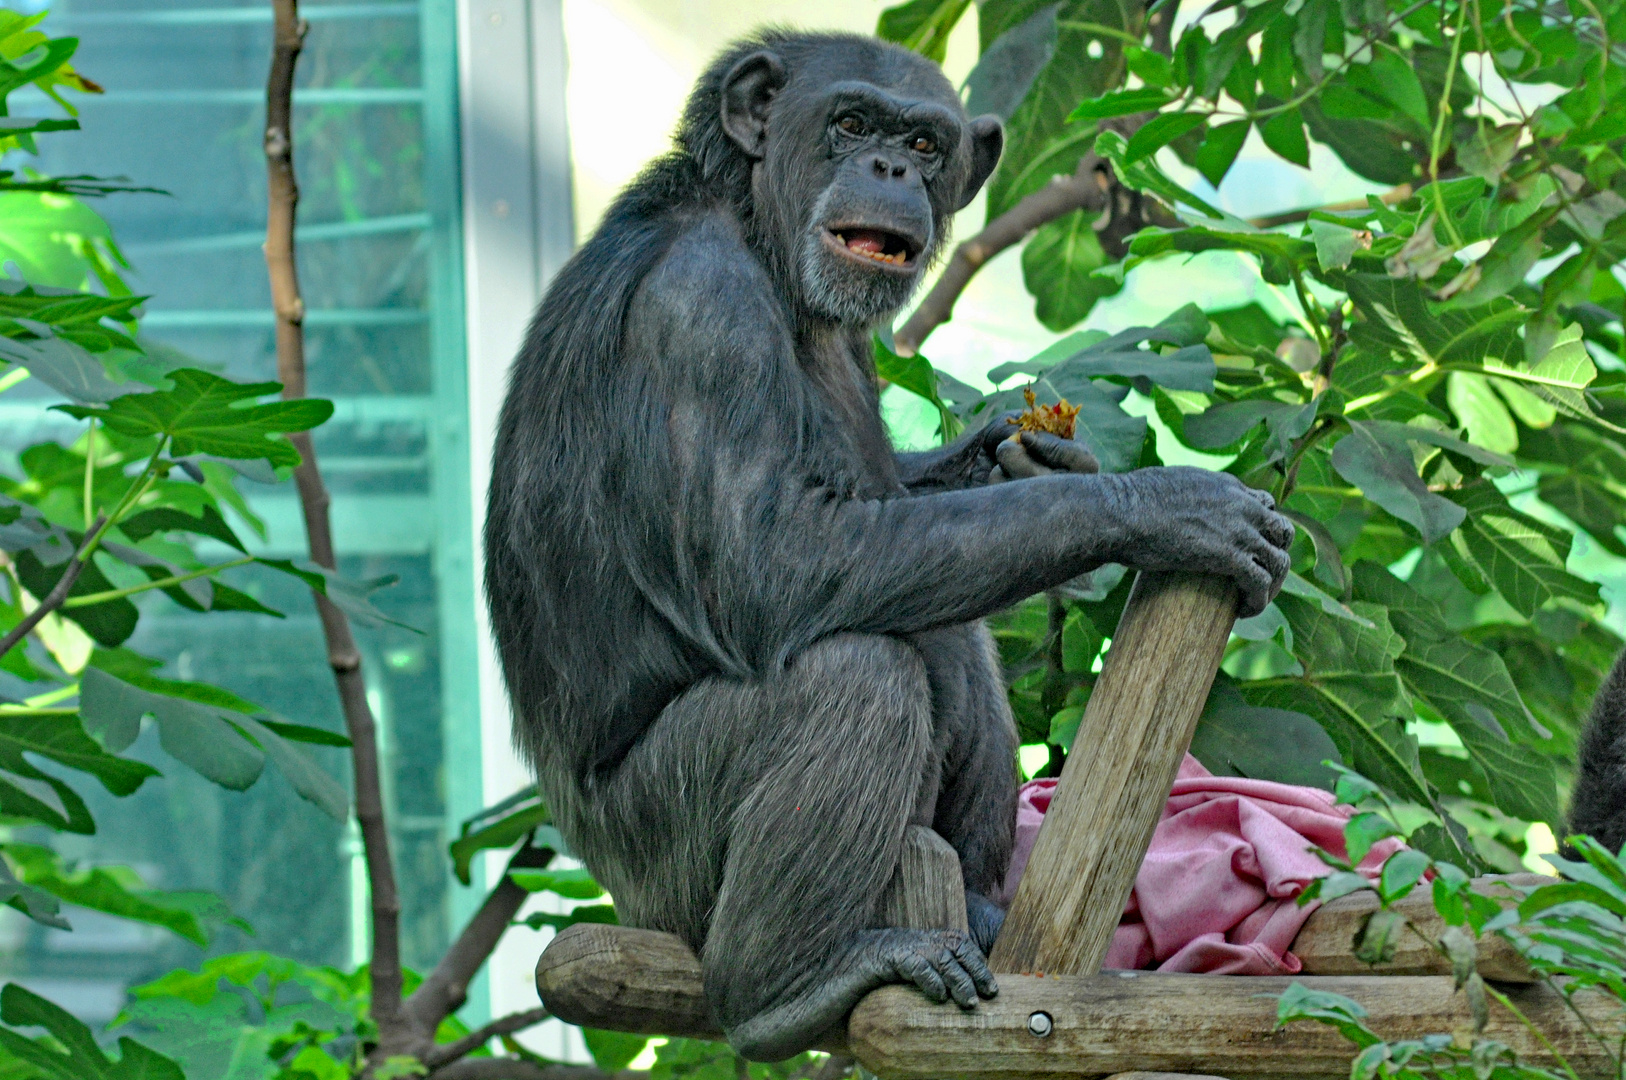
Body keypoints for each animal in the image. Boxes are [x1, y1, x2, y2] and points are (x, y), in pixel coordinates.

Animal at [481, 27, 1294, 1060]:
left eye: (924, 142)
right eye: (852, 122)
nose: (890, 169)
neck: (755, 226)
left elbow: (896, 501)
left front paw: (1037, 456)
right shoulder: (697, 314)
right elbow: (770, 559)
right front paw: (1168, 505)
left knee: (947, 625)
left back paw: (979, 909)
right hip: (660, 867)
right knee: (857, 674)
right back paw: (787, 987)